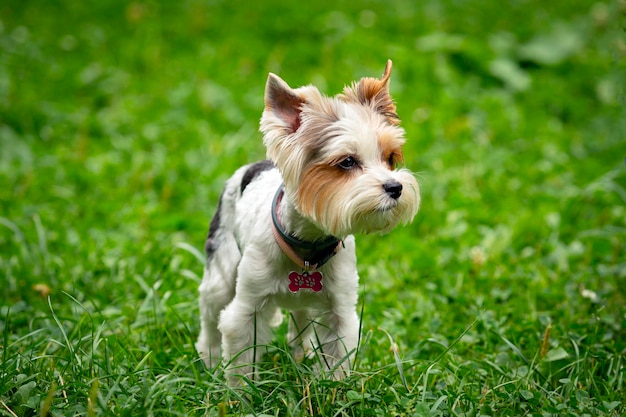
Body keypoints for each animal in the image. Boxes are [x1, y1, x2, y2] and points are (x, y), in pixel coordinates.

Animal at [195, 60, 420, 378]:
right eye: (347, 162)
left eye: (390, 158)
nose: (395, 187)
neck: (307, 247)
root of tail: (256, 165)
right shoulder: (247, 308)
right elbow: (241, 361)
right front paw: (238, 389)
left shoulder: (341, 310)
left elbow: (337, 357)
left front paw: (335, 386)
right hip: (221, 268)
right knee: (211, 311)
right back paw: (210, 359)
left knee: (299, 318)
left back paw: (298, 354)